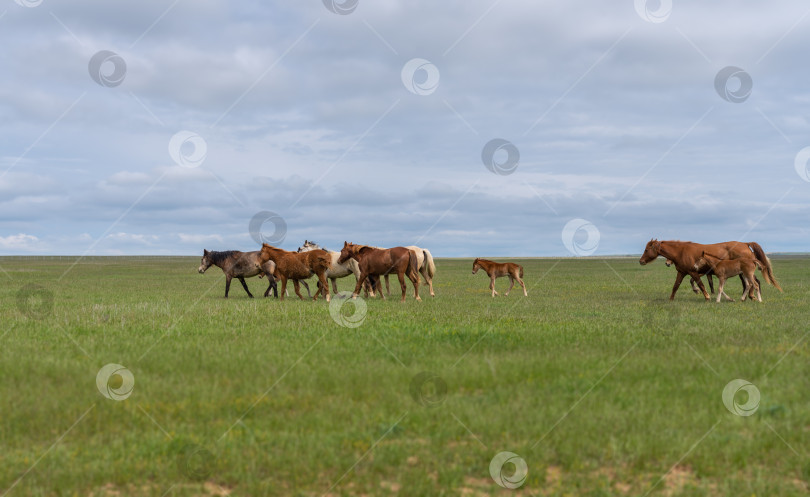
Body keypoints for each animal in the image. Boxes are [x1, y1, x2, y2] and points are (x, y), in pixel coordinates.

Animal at [636, 239, 776, 300]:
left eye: (646, 250)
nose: (641, 261)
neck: (681, 252)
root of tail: (745, 244)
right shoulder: (682, 272)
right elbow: (676, 286)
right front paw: (671, 299)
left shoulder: (694, 272)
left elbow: (701, 285)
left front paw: (707, 296)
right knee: (750, 283)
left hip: (744, 272)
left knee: (752, 282)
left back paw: (751, 296)